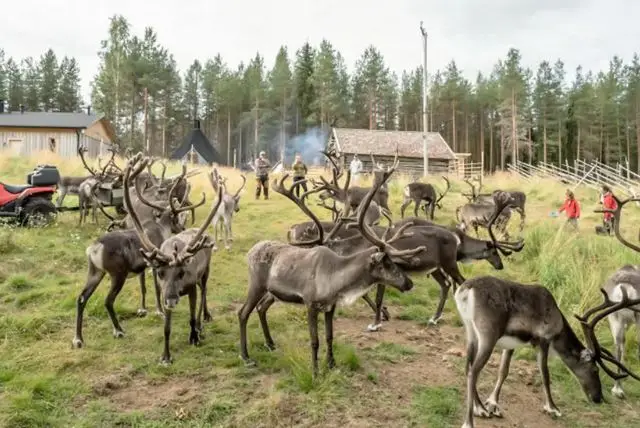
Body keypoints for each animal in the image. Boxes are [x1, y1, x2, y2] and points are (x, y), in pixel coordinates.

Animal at [72, 154, 205, 350]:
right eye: (175, 218)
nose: (182, 228)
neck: (161, 229)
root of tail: (94, 248)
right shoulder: (155, 264)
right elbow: (157, 289)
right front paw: (159, 311)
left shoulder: (143, 266)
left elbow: (143, 287)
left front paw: (144, 309)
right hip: (117, 274)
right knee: (108, 300)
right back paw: (118, 330)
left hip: (95, 271)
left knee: (81, 298)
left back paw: (78, 339)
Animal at [123, 158, 225, 364]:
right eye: (162, 273)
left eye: (181, 273)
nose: (171, 299)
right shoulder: (164, 288)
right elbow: (166, 328)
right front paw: (166, 356)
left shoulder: (191, 287)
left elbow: (192, 317)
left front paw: (194, 336)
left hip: (206, 272)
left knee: (204, 292)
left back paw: (204, 319)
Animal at [237, 152, 426, 377]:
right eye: (386, 263)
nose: (409, 283)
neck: (336, 280)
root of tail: (250, 251)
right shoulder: (310, 304)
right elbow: (315, 341)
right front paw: (315, 372)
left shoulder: (330, 307)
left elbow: (329, 336)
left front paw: (332, 364)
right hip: (256, 285)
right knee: (243, 313)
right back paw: (245, 356)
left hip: (272, 292)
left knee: (261, 308)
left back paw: (270, 343)